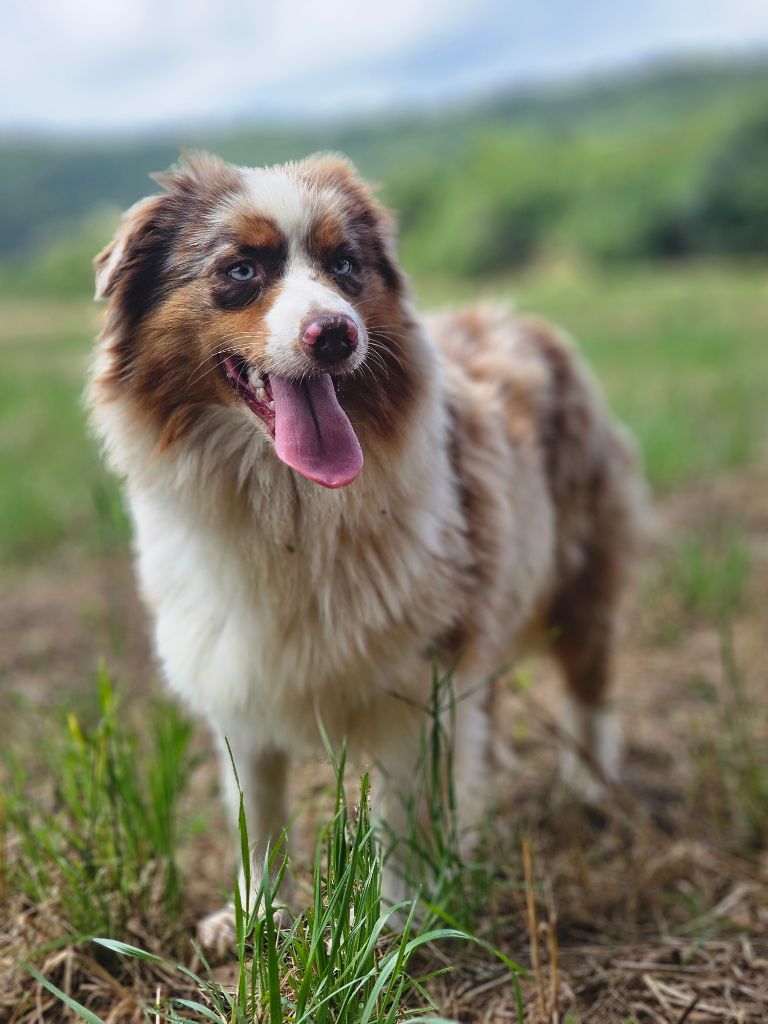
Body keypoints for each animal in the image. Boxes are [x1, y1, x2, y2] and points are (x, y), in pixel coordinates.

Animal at [88, 149, 651, 942]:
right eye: (240, 270)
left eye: (346, 265)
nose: (336, 334)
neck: (288, 503)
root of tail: (521, 319)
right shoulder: (237, 668)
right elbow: (257, 811)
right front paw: (255, 915)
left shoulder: (422, 671)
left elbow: (404, 812)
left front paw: (401, 921)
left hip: (580, 577)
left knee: (588, 687)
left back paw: (591, 789)